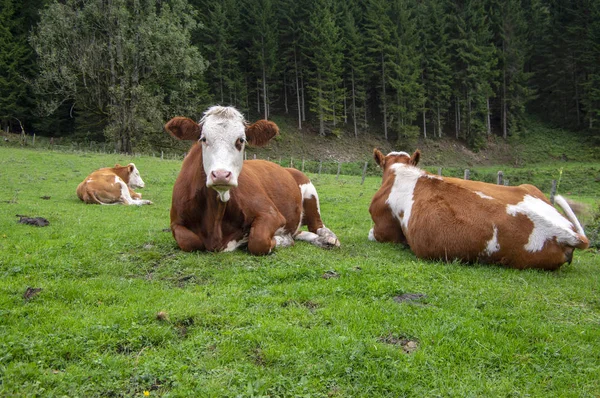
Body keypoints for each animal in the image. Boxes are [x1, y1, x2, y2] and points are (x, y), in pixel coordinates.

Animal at [164, 105, 340, 255]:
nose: (221, 174)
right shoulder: (175, 222)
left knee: (318, 225)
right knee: (299, 231)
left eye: (241, 140)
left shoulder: (271, 213)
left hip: (310, 193)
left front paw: (282, 239)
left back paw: (330, 239)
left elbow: (258, 241)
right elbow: (190, 241)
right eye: (203, 139)